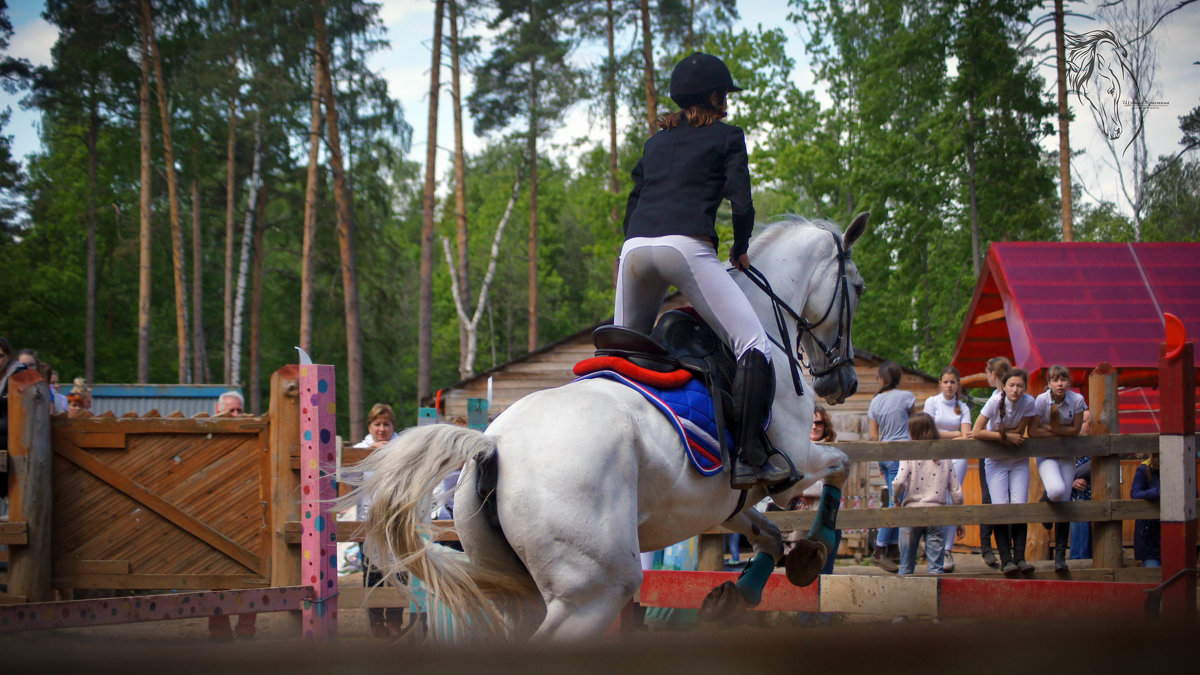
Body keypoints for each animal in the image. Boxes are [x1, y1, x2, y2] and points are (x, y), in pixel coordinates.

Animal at [350, 212, 868, 638]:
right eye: (859, 288)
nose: (843, 380)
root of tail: (491, 444)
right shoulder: (794, 464)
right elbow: (840, 464)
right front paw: (816, 549)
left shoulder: (724, 503)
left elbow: (770, 535)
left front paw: (738, 594)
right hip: (594, 590)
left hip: (518, 588)